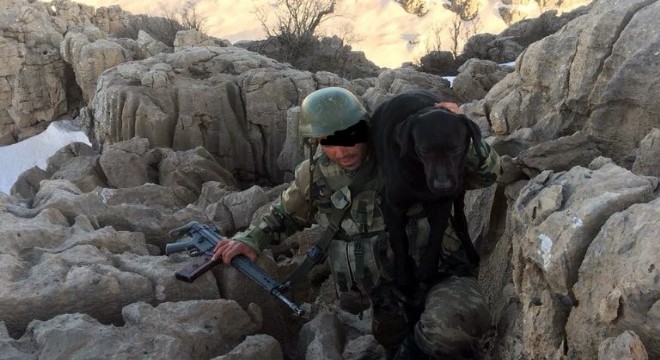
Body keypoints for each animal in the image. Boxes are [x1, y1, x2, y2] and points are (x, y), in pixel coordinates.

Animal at [372, 88, 484, 294]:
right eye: (424, 151)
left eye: (455, 149)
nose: (442, 186)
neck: (420, 172)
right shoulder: (392, 205)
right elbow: (399, 241)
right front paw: (405, 277)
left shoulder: (442, 203)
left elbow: (437, 234)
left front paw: (427, 269)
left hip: (459, 191)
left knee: (460, 220)